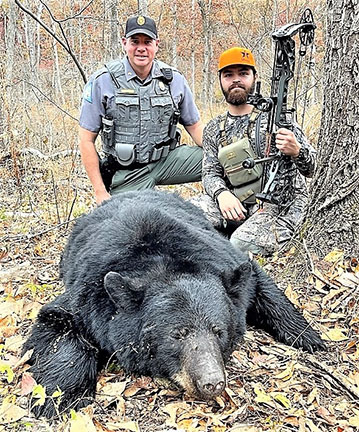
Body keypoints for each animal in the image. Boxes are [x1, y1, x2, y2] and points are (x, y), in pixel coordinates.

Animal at [23, 190, 326, 418]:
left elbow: (258, 282)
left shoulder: (225, 259)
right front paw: (57, 398)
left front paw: (308, 336)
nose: (212, 382)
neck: (160, 258)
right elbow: (58, 322)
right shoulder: (90, 295)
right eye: (177, 335)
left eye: (219, 331)